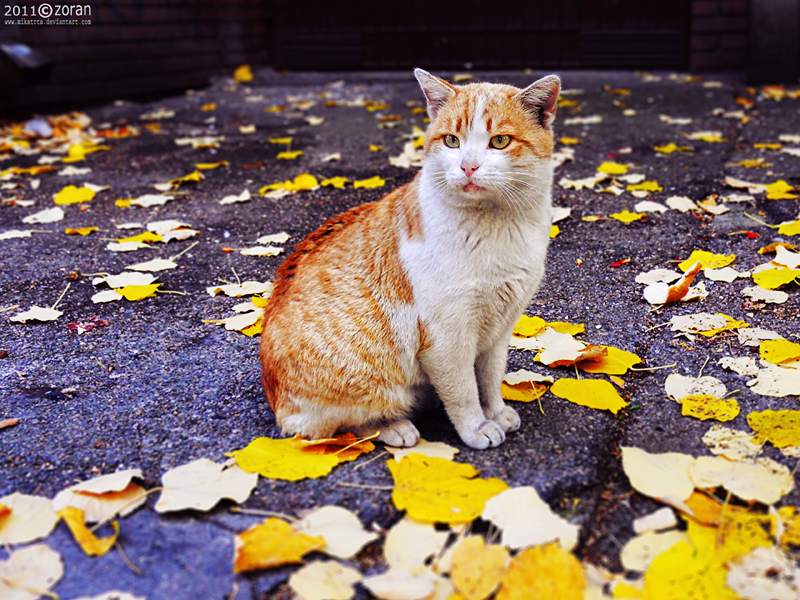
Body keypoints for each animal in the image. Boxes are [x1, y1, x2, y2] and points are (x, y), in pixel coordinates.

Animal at [260, 68, 560, 448]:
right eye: (451, 141)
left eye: (500, 141)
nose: (468, 167)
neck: (499, 227)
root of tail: (275, 400)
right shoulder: (448, 338)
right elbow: (464, 392)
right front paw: (477, 427)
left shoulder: (499, 331)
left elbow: (490, 380)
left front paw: (495, 412)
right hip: (365, 385)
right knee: (336, 429)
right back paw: (394, 427)